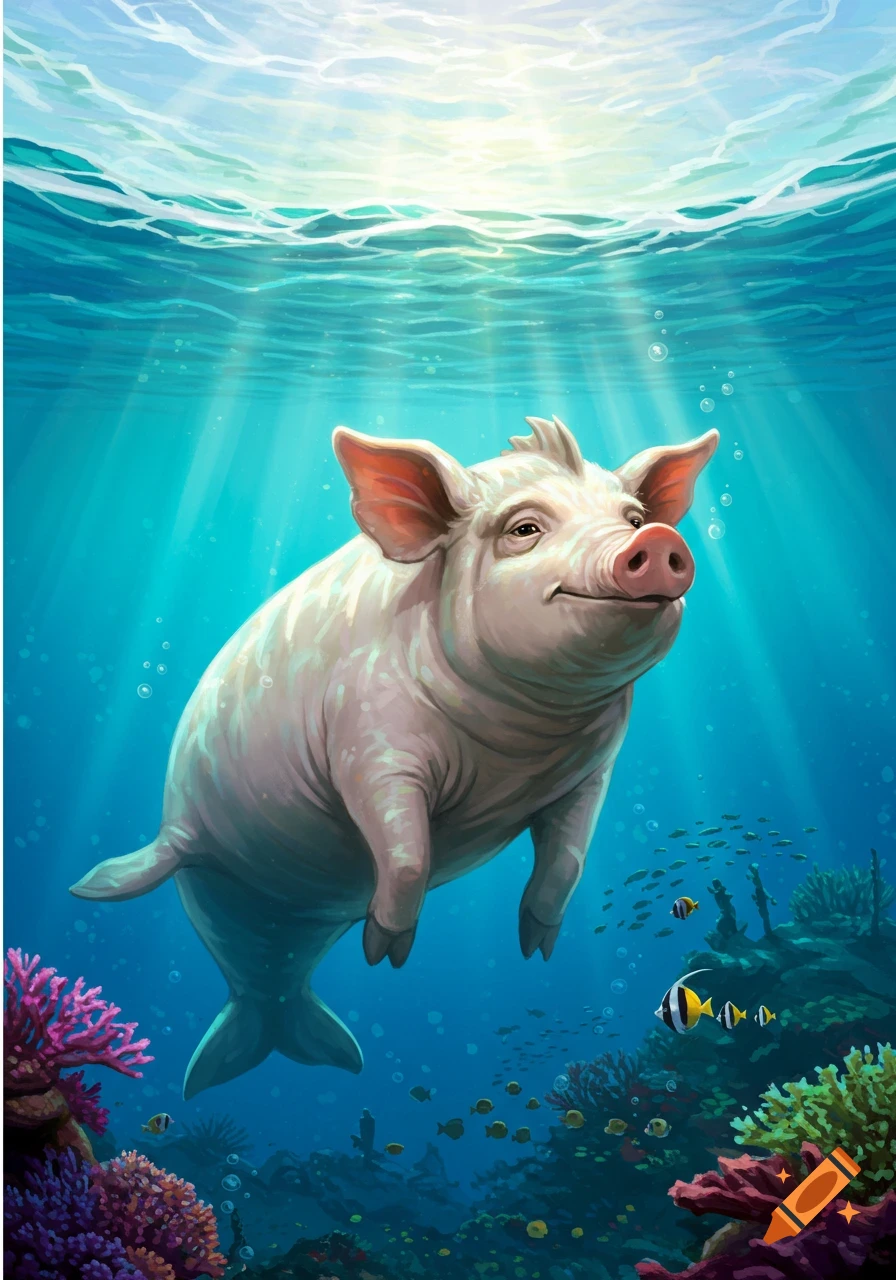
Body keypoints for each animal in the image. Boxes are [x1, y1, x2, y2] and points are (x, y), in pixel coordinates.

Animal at [70, 415, 717, 1099]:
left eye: (631, 516)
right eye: (524, 529)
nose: (656, 539)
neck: (521, 744)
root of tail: (270, 1009)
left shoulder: (592, 773)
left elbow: (566, 861)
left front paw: (534, 948)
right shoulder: (370, 745)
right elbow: (407, 852)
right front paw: (384, 954)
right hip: (187, 839)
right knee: (164, 862)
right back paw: (87, 888)